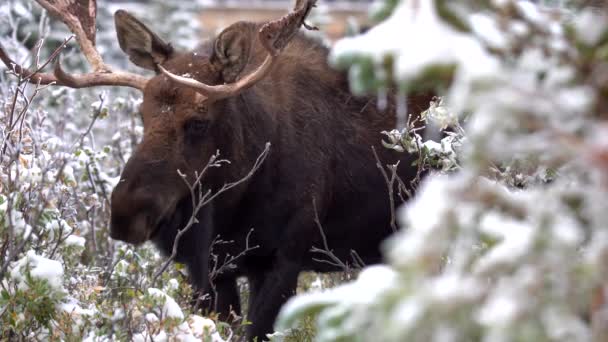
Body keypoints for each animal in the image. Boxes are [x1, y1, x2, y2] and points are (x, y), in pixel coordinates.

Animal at [0, 0, 430, 340]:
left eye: (199, 121)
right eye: (142, 114)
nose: (126, 212)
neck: (232, 208)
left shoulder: (284, 258)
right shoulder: (208, 269)